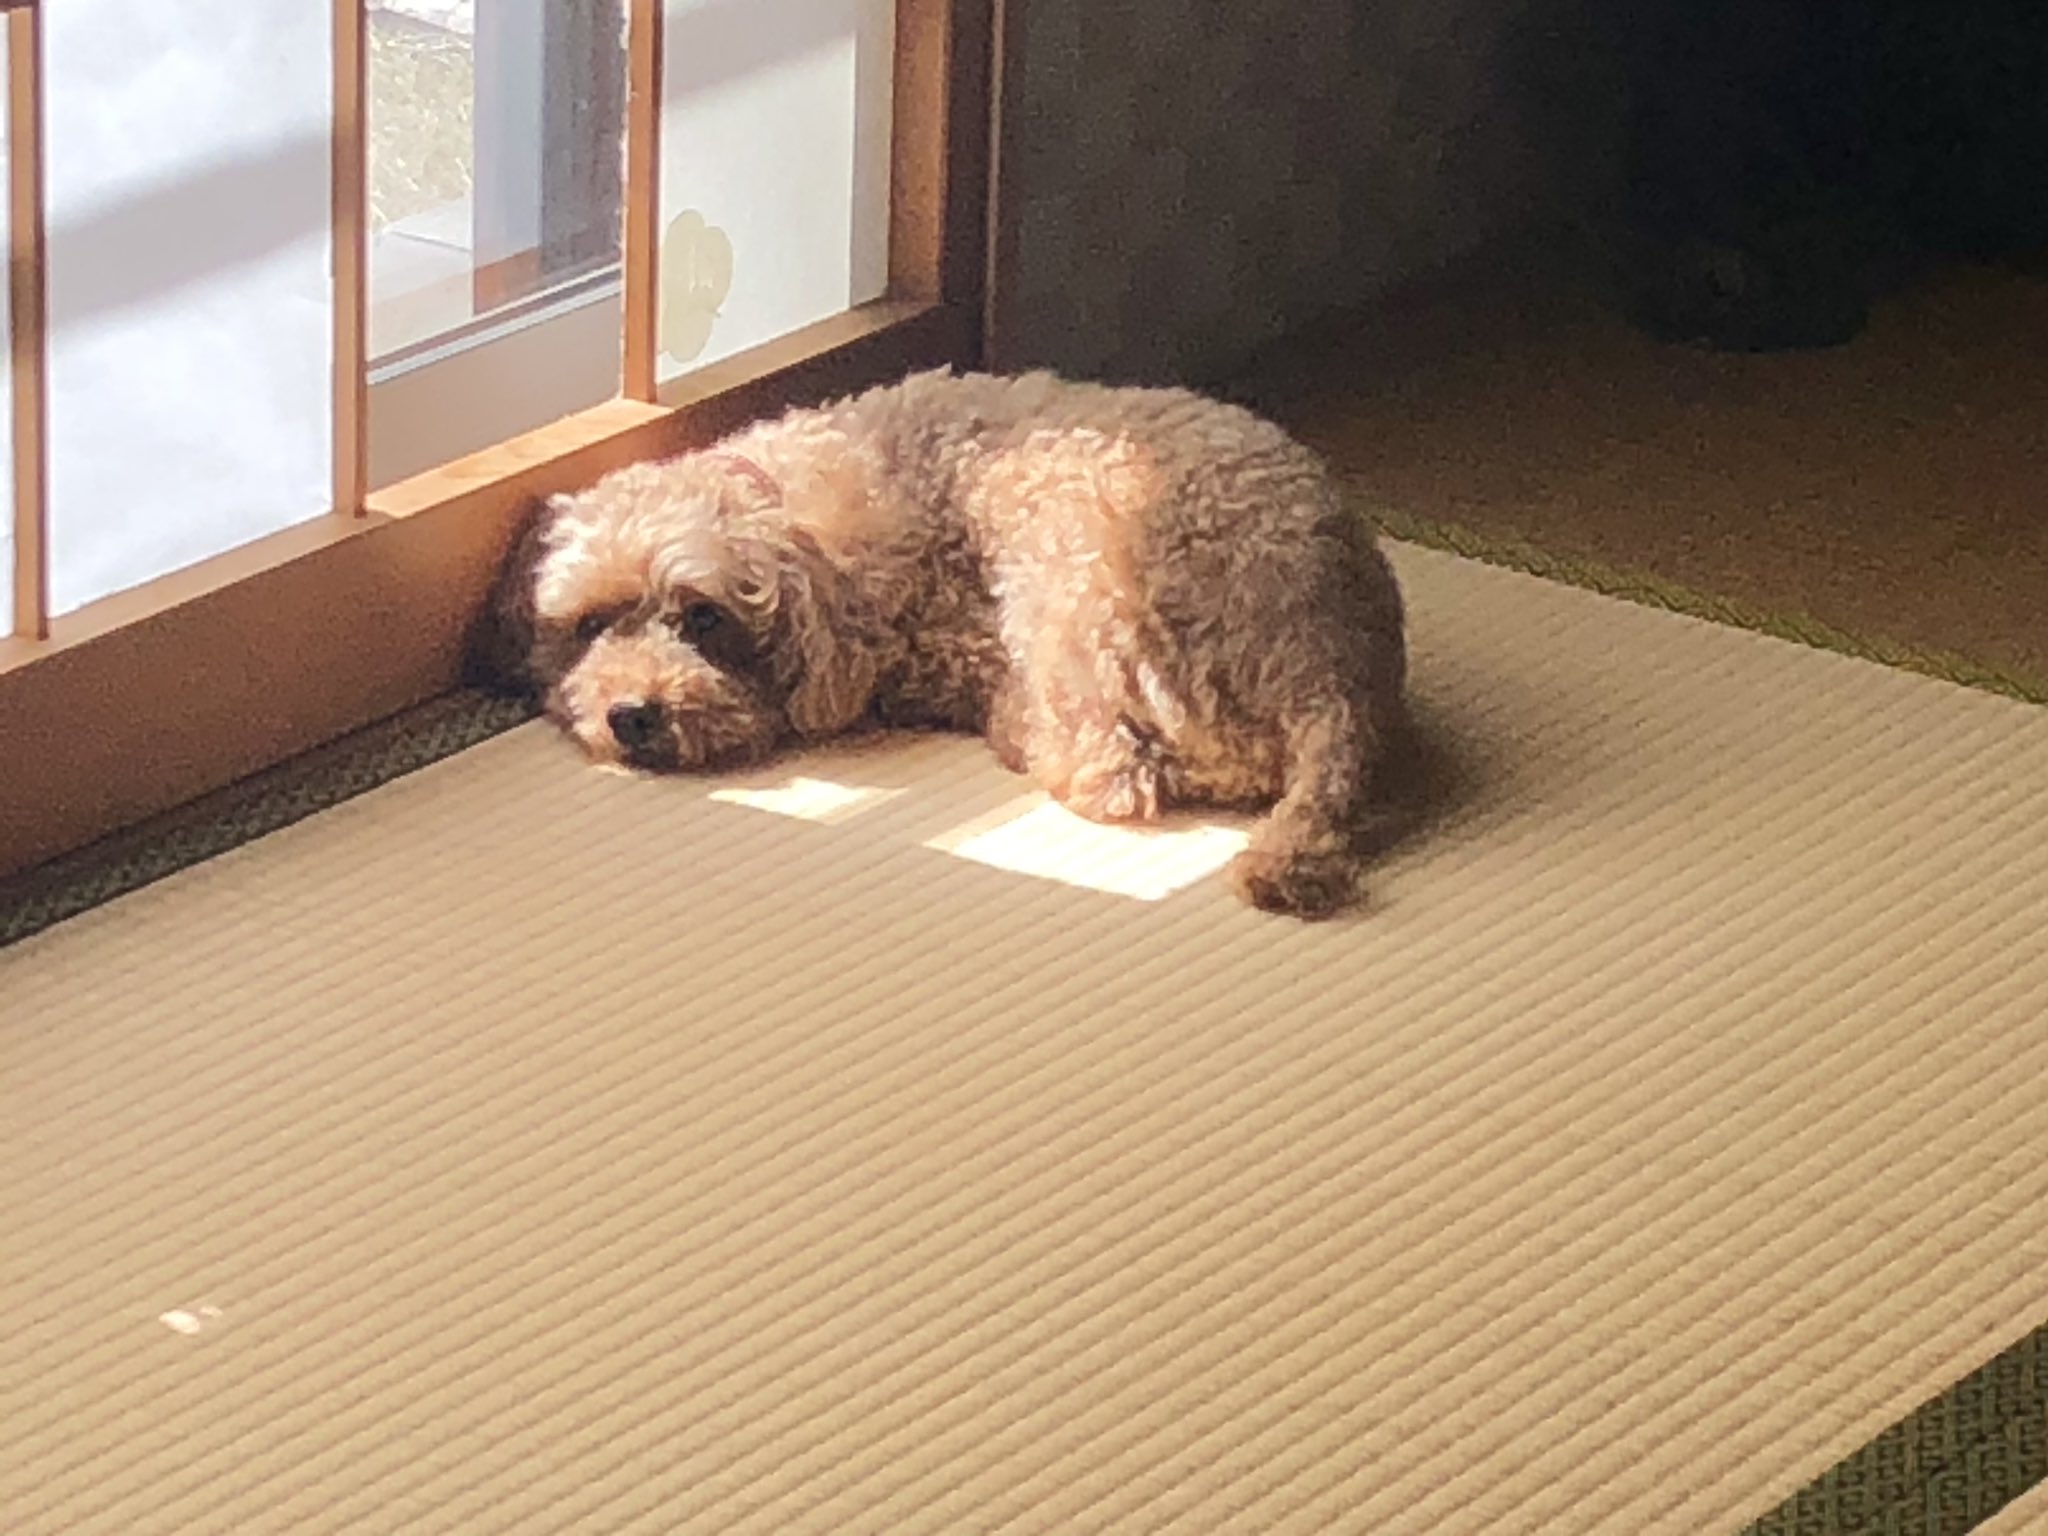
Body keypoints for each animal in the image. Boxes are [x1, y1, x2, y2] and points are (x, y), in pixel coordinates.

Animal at [481, 368, 1411, 918]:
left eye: (703, 617)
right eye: (589, 624)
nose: (633, 715)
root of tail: (1335, 678)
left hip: (1072, 583)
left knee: (1113, 772)